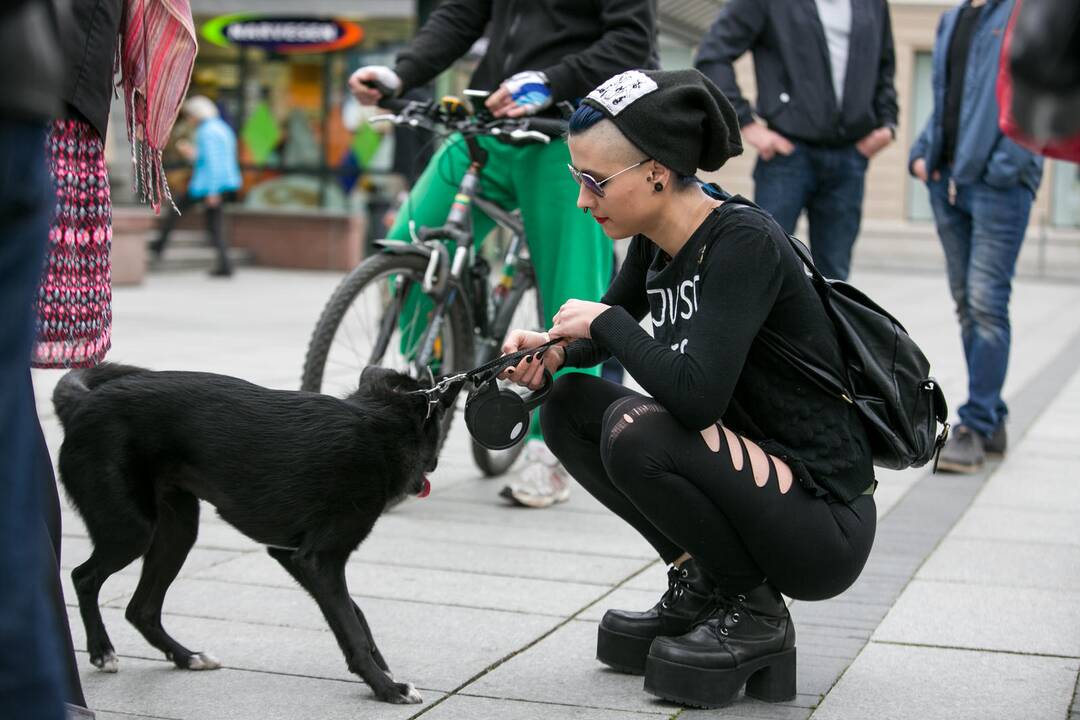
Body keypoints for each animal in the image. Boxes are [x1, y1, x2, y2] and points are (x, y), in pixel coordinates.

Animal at [54, 362, 460, 699]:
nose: (429, 474)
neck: (379, 424)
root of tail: (82, 404)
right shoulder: (319, 560)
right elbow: (351, 627)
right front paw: (387, 688)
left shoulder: (289, 554)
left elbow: (355, 613)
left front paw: (383, 668)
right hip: (133, 530)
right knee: (84, 577)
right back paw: (102, 652)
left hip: (177, 531)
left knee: (141, 609)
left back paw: (187, 657)